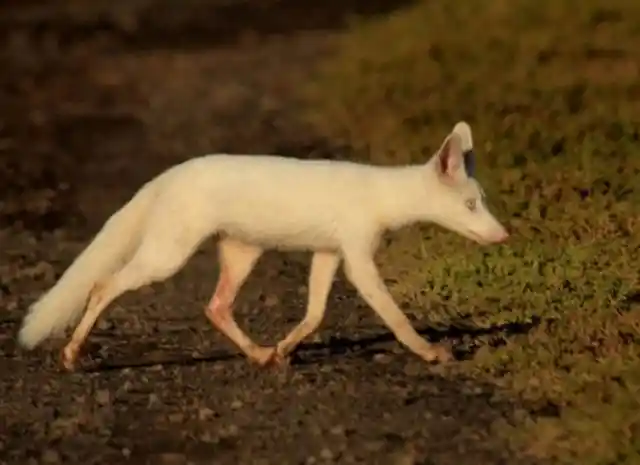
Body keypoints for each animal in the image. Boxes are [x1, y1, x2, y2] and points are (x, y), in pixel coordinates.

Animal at [16, 120, 510, 370]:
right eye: (470, 205)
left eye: (482, 201)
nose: (503, 235)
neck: (383, 198)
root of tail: (166, 176)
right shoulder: (356, 254)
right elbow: (394, 316)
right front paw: (431, 352)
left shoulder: (329, 252)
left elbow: (314, 314)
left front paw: (286, 349)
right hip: (168, 255)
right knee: (103, 285)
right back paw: (71, 353)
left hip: (241, 253)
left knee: (216, 306)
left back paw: (259, 354)